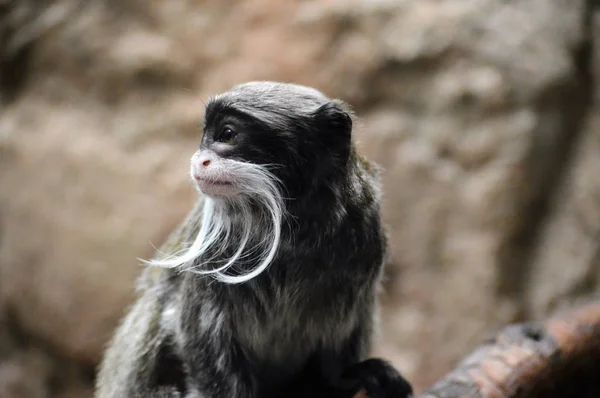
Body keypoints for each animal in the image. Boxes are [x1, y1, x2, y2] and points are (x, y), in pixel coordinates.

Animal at [96, 81, 414, 398]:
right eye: (205, 136)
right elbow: (198, 336)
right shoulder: (209, 255)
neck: (294, 231)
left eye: (227, 134)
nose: (199, 159)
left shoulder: (366, 236)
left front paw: (347, 378)